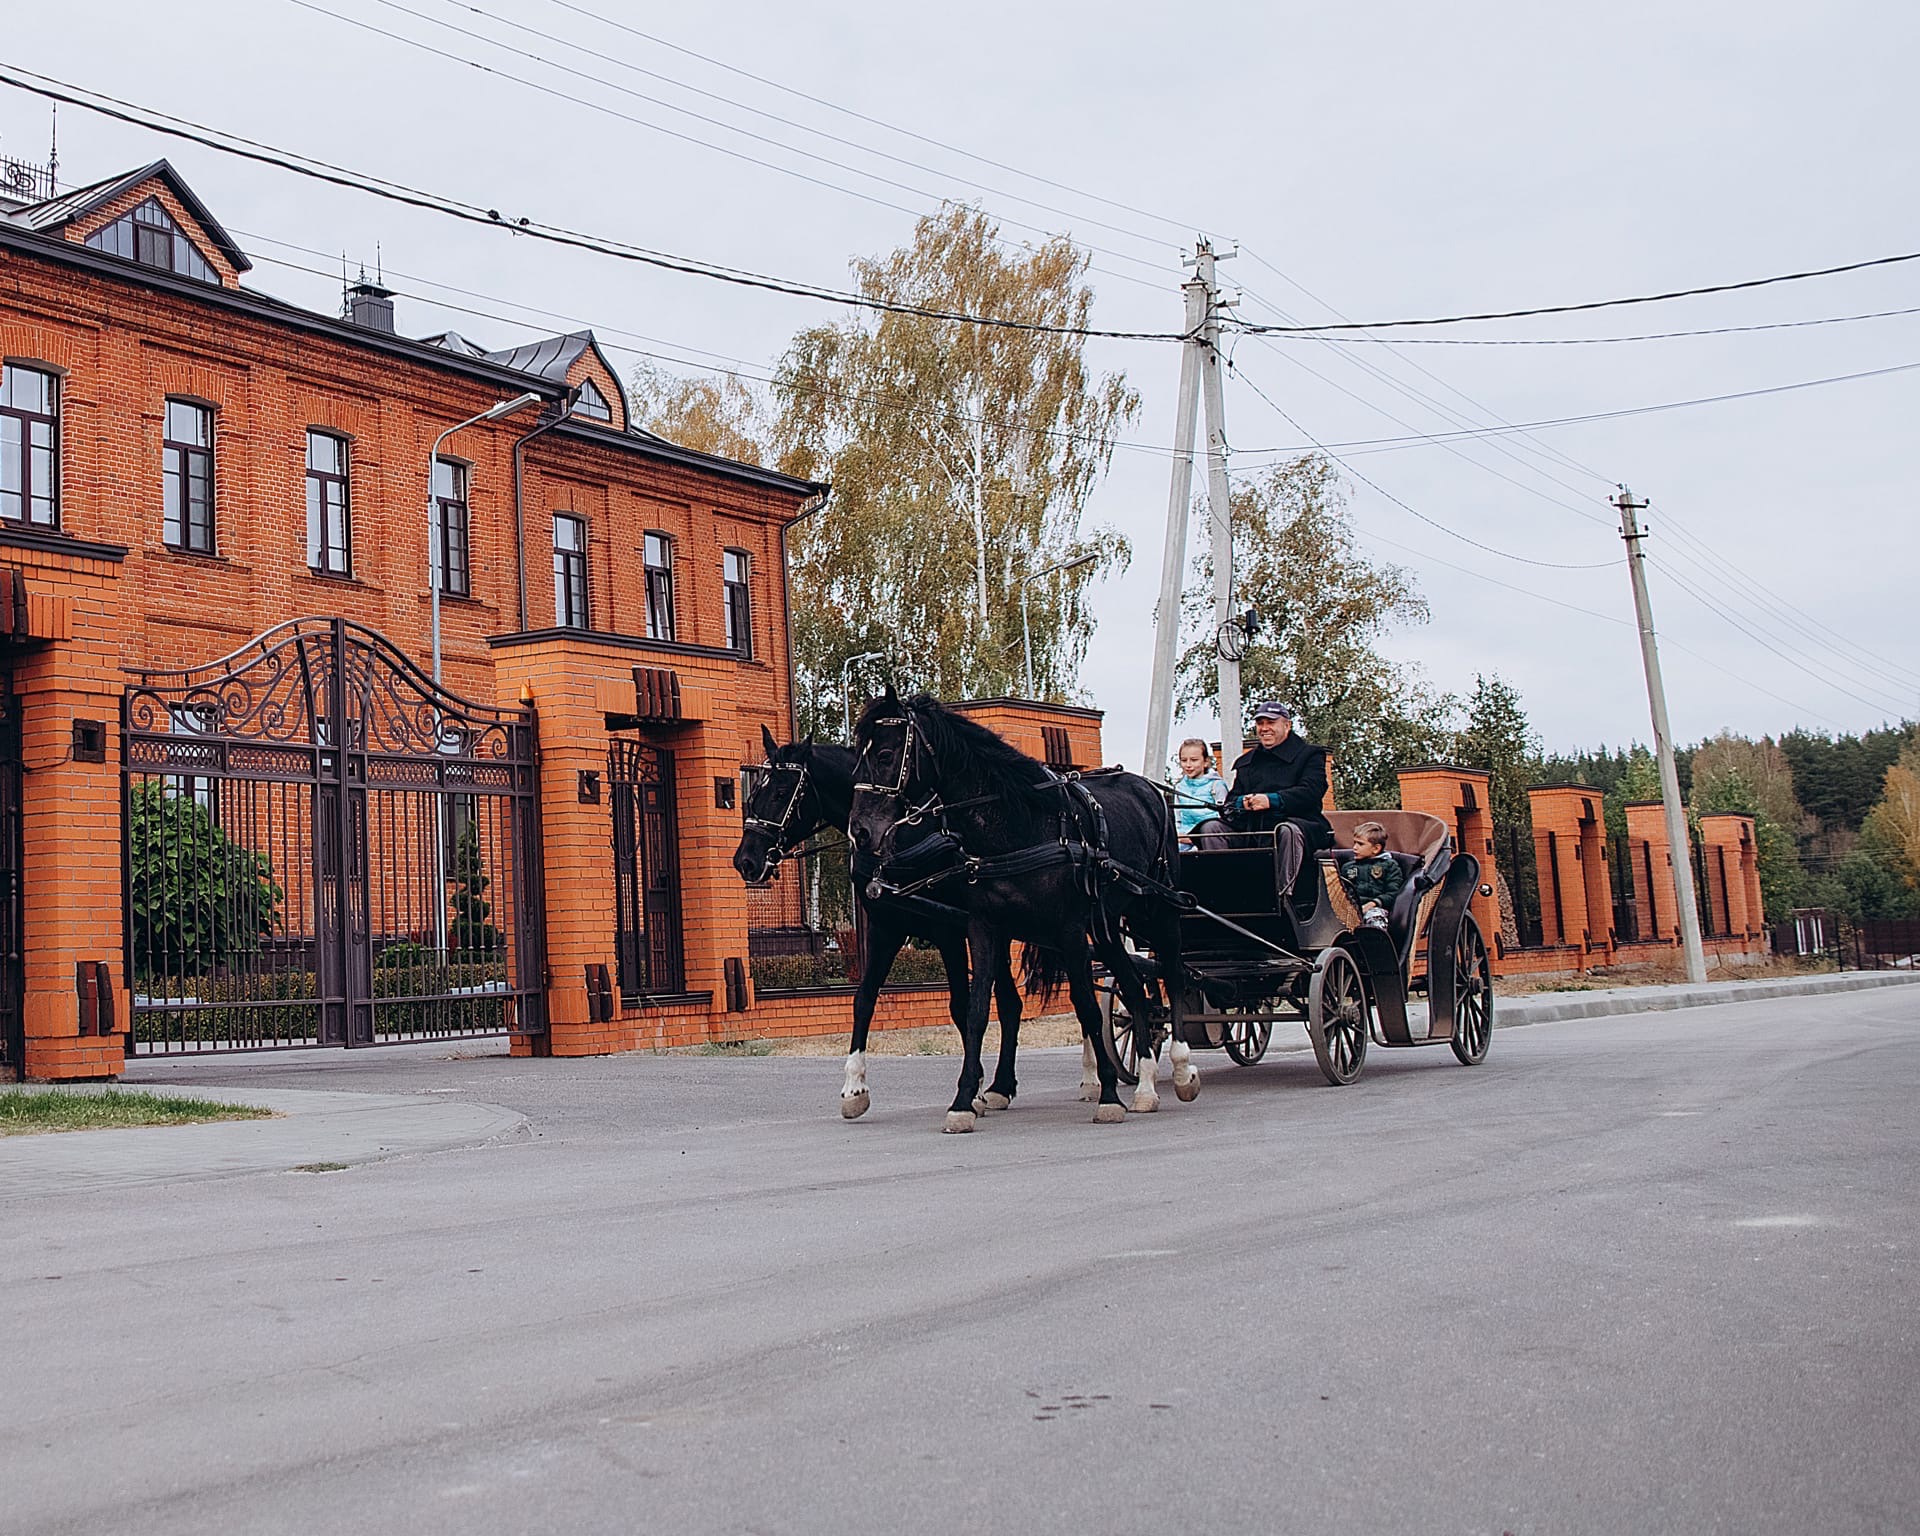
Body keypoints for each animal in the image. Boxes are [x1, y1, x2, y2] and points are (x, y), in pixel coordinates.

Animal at [725, 725, 1052, 1121]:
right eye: (754, 790)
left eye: (781, 792)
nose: (746, 861)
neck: (903, 837)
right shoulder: (886, 929)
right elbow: (864, 998)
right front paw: (854, 1087)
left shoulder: (948, 933)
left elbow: (961, 1006)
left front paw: (969, 1090)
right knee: (1011, 1003)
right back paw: (1003, 1085)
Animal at [848, 691, 1190, 1136]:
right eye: (857, 755)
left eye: (886, 754)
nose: (860, 831)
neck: (1019, 825)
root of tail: (1147, 787)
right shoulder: (982, 926)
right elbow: (977, 1010)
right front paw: (964, 1101)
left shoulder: (1067, 929)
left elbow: (1084, 1006)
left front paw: (1108, 1096)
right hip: (1106, 927)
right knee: (1133, 988)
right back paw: (1146, 1086)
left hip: (1156, 909)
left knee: (1175, 974)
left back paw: (1181, 1070)